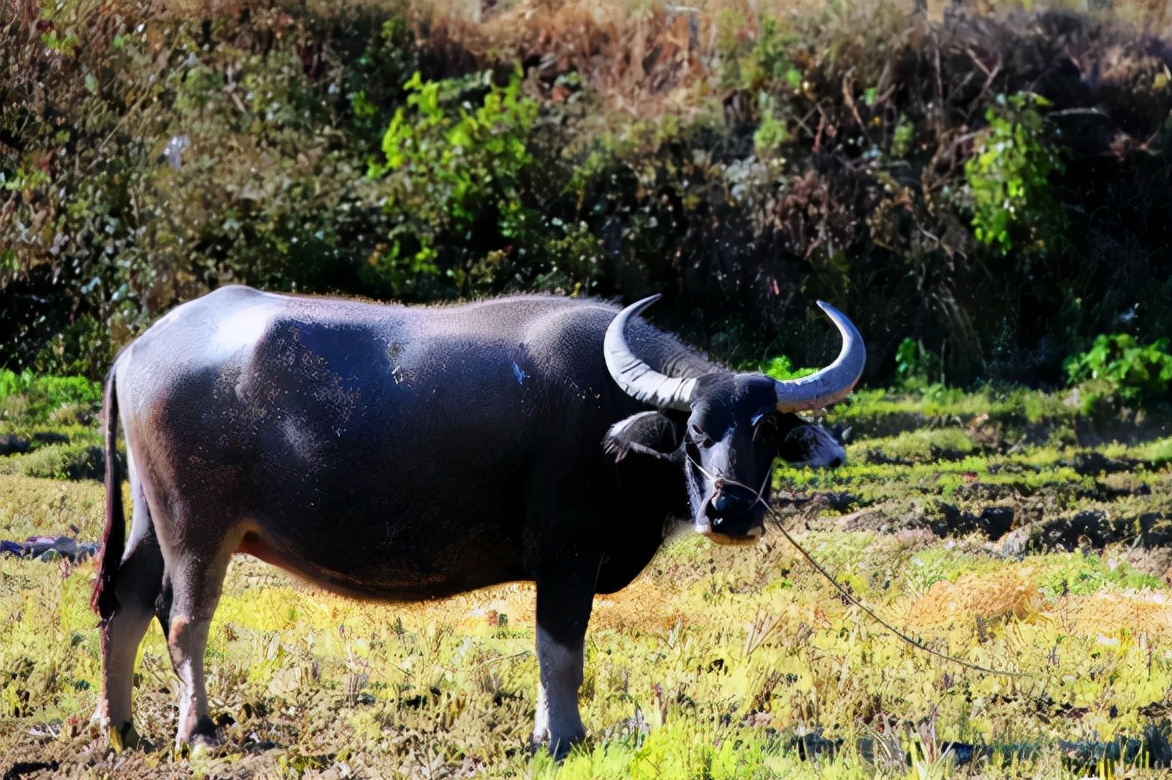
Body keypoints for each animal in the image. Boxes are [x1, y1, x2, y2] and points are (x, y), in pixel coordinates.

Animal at [89, 285, 862, 754]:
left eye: (767, 430)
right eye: (695, 432)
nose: (732, 510)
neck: (611, 422)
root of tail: (137, 350)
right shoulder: (567, 555)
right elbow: (561, 652)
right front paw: (562, 738)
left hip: (152, 519)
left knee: (127, 601)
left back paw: (120, 725)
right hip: (196, 526)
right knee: (183, 620)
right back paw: (198, 732)